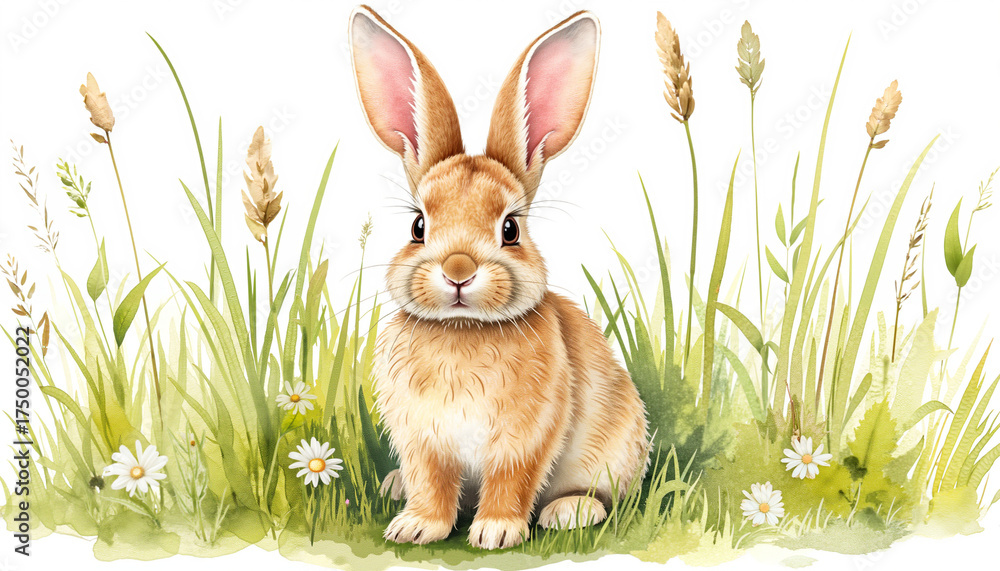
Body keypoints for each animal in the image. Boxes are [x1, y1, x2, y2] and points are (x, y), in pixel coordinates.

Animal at [349, 5, 649, 550]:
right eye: (418, 225)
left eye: (511, 228)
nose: (458, 270)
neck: (461, 332)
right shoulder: (422, 437)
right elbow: (431, 480)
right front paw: (416, 526)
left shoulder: (527, 433)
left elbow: (514, 477)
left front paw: (496, 532)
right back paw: (394, 487)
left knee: (605, 497)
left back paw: (567, 513)